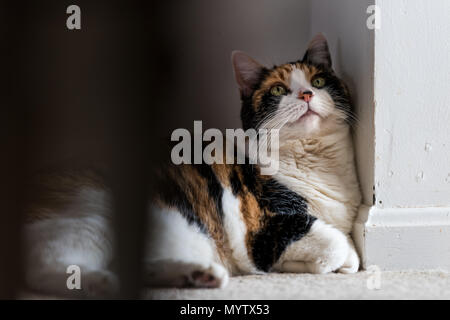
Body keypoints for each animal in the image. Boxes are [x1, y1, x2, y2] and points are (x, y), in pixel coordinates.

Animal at [23, 33, 362, 296]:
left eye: (319, 81)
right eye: (278, 89)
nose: (306, 94)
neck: (318, 163)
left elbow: (348, 249)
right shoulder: (264, 230)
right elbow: (337, 244)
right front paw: (336, 260)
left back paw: (198, 275)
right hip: (95, 216)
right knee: (45, 264)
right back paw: (106, 283)